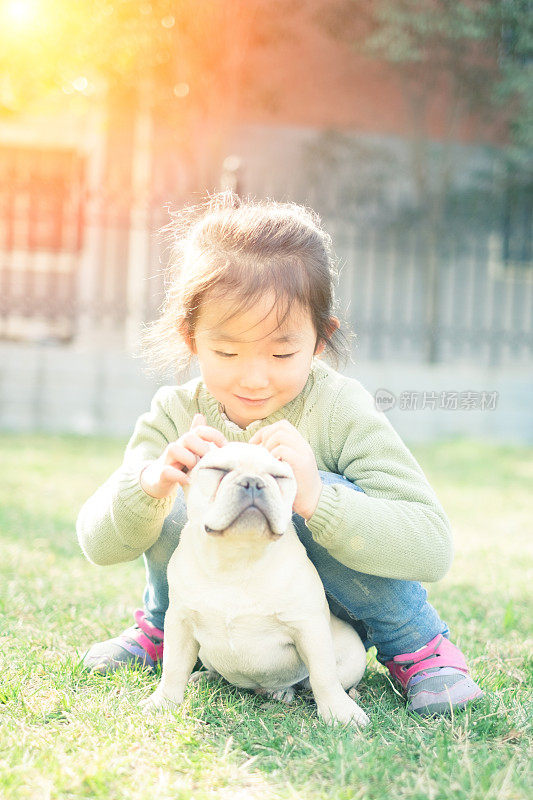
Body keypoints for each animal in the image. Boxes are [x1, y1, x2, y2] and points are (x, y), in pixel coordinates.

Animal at [139, 440, 368, 728]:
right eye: (218, 469)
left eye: (280, 477)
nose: (253, 482)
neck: (240, 556)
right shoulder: (180, 623)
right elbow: (173, 667)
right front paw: (163, 703)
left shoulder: (309, 627)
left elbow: (323, 674)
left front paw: (340, 712)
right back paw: (204, 678)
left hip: (353, 658)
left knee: (315, 681)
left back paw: (287, 692)